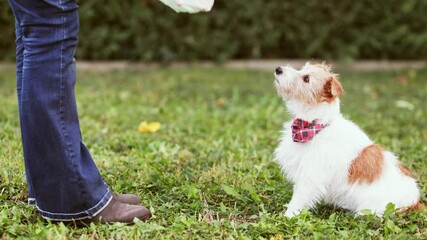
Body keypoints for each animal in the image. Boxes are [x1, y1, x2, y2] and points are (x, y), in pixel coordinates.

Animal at [274, 62, 422, 218]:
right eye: (301, 69)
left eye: (306, 79)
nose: (278, 69)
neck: (316, 126)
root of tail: (415, 201)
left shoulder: (311, 175)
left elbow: (299, 197)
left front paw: (288, 215)